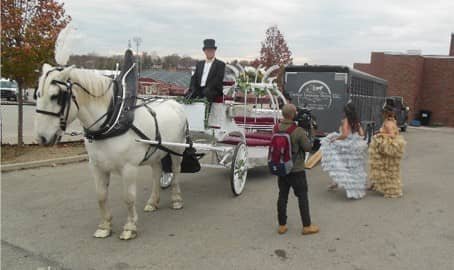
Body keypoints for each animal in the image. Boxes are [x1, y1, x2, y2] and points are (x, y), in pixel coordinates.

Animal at [33, 63, 186, 240]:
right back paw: (152, 202)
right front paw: (105, 226)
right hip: (155, 152)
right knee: (156, 173)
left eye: (56, 96)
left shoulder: (129, 168)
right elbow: (101, 196)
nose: (41, 138)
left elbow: (128, 197)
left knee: (176, 172)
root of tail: (175, 103)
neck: (111, 122)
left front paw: (130, 227)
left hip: (177, 149)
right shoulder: (96, 166)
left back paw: (177, 200)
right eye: (37, 94)